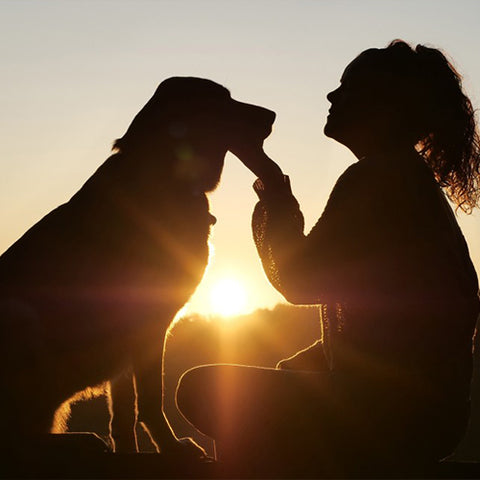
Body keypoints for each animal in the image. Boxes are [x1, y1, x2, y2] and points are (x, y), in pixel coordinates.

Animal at [0, 78, 276, 458]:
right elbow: (149, 399)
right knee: (16, 438)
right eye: (223, 100)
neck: (163, 176)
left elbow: (124, 410)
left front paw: (130, 450)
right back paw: (81, 442)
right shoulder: (150, 324)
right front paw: (171, 447)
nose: (272, 116)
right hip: (20, 316)